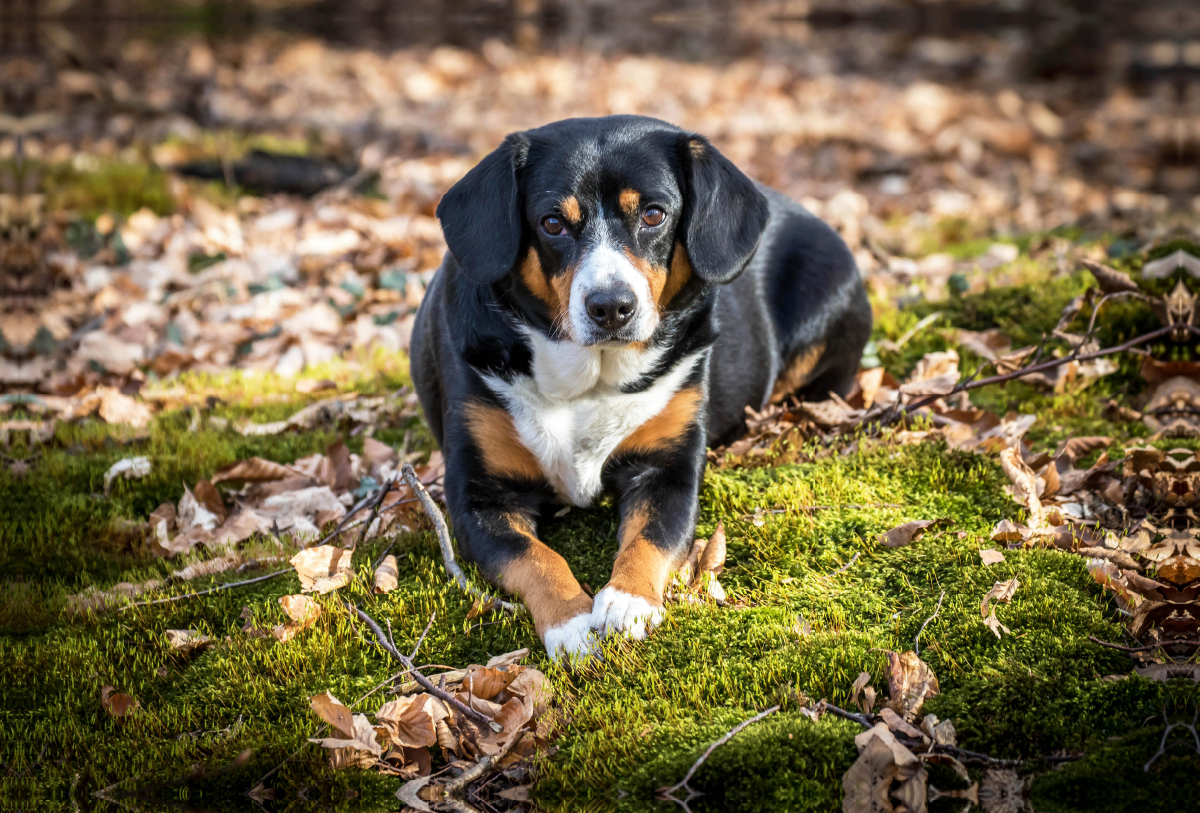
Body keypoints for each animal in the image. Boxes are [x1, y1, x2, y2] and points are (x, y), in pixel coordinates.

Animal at [412, 114, 873, 661]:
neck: (590, 383)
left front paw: (628, 599)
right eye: (552, 223)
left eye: (654, 214)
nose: (611, 306)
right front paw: (571, 622)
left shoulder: (668, 469)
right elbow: (536, 556)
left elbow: (651, 535)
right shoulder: (479, 498)